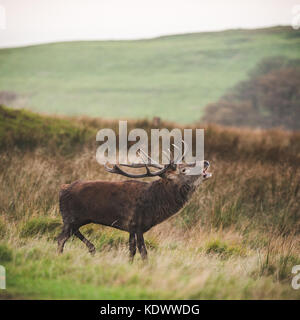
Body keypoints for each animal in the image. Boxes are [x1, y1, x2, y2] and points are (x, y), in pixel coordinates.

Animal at [56, 142, 211, 260]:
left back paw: (91, 248)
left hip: (77, 219)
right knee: (61, 238)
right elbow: (143, 252)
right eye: (184, 170)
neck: (154, 205)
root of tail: (62, 189)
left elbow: (131, 250)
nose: (206, 161)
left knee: (71, 233)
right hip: (71, 217)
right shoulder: (137, 224)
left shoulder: (130, 227)